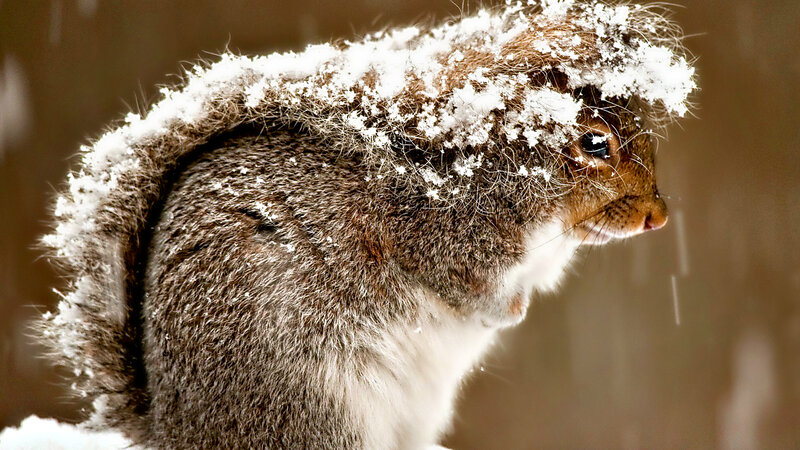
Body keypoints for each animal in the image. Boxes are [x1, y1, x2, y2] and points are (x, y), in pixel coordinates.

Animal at [38, 1, 695, 448]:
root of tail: (177, 430)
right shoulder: (440, 238)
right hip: (310, 404)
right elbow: (467, 288)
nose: (658, 217)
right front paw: (507, 312)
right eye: (595, 143)